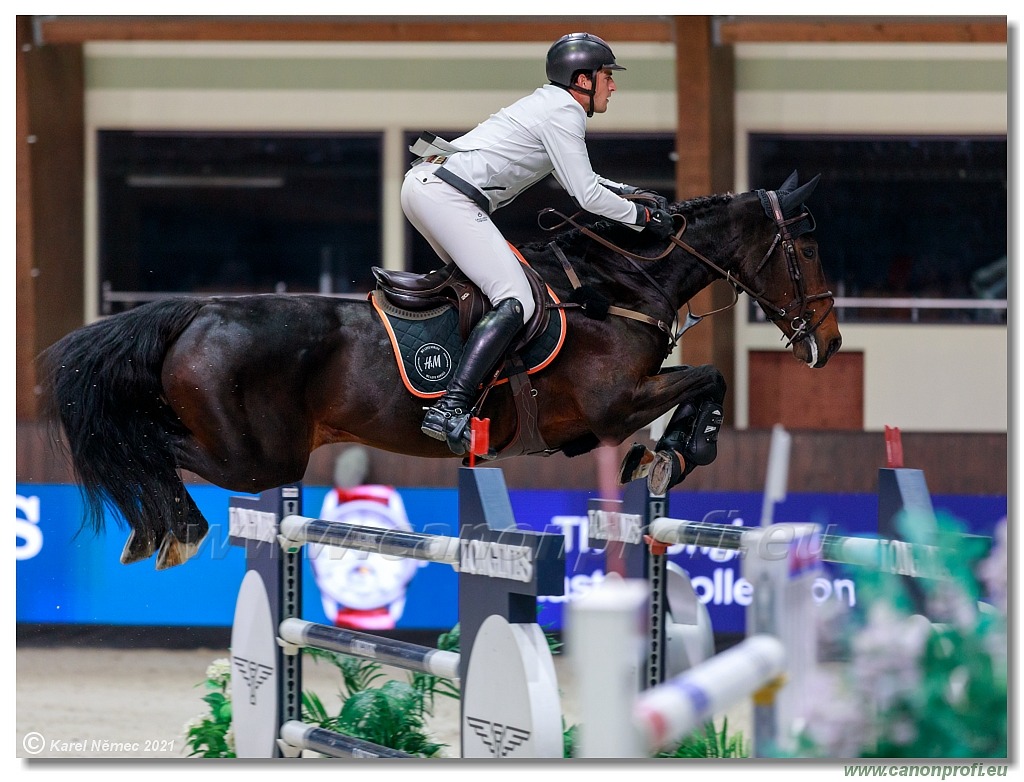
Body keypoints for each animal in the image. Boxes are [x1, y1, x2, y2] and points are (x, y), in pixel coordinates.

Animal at [39, 172, 839, 569]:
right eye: (806, 250)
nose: (827, 344)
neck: (619, 288)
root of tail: (198, 310)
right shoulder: (611, 407)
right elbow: (709, 379)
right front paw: (678, 450)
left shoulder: (600, 422)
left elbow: (706, 382)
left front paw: (665, 455)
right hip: (256, 457)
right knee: (147, 446)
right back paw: (170, 530)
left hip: (254, 451)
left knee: (145, 440)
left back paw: (153, 531)